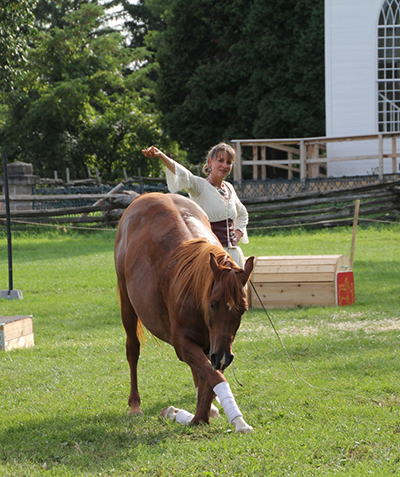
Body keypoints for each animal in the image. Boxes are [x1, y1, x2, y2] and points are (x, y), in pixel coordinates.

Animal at [114, 192, 255, 432]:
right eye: (213, 304)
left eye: (243, 309)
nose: (223, 357)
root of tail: (146, 196)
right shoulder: (183, 344)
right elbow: (214, 377)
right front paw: (236, 419)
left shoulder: (212, 345)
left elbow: (209, 375)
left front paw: (202, 411)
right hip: (127, 302)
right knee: (132, 349)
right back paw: (135, 405)